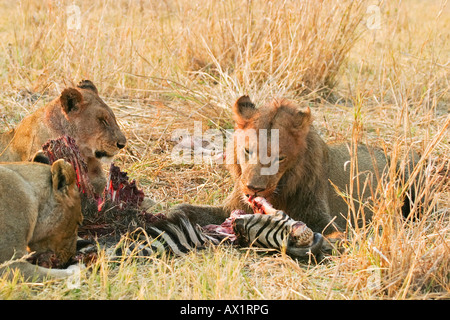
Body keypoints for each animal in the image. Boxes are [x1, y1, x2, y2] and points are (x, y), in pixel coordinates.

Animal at [170, 96, 418, 239]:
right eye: (248, 151)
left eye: (279, 158)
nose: (253, 189)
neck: (280, 191)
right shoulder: (232, 208)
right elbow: (187, 209)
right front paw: (171, 217)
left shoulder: (324, 218)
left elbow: (330, 233)